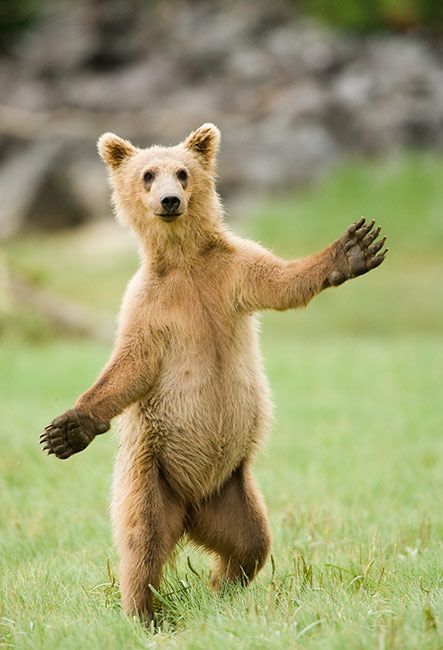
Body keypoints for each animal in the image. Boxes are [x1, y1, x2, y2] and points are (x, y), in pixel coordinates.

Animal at [40, 123, 387, 620]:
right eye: (148, 174)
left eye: (183, 172)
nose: (169, 200)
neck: (185, 261)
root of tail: (190, 513)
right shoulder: (149, 305)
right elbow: (131, 364)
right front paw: (67, 430)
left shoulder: (230, 275)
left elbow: (281, 282)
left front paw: (353, 248)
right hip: (151, 474)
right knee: (142, 546)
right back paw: (144, 612)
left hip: (231, 492)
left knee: (251, 543)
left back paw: (221, 588)